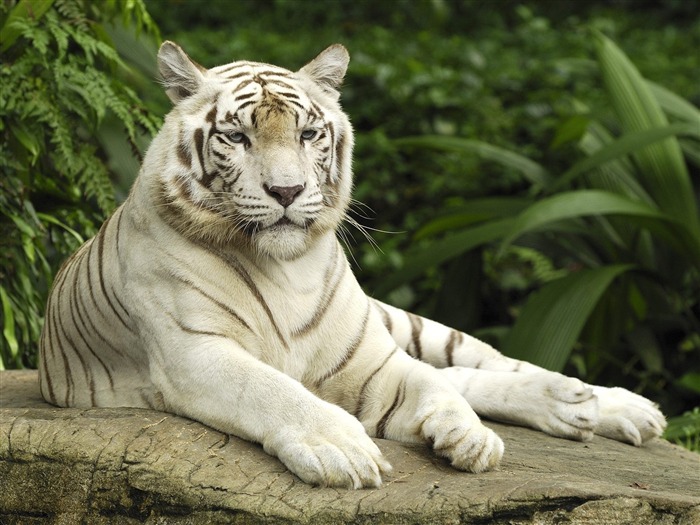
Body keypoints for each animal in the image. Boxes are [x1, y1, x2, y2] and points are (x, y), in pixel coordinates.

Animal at [39, 43, 668, 490]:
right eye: (237, 137)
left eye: (308, 133)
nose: (287, 191)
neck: (285, 269)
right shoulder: (194, 352)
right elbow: (271, 389)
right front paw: (342, 449)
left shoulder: (369, 360)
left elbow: (431, 384)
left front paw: (468, 437)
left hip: (403, 324)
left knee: (475, 365)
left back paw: (600, 403)